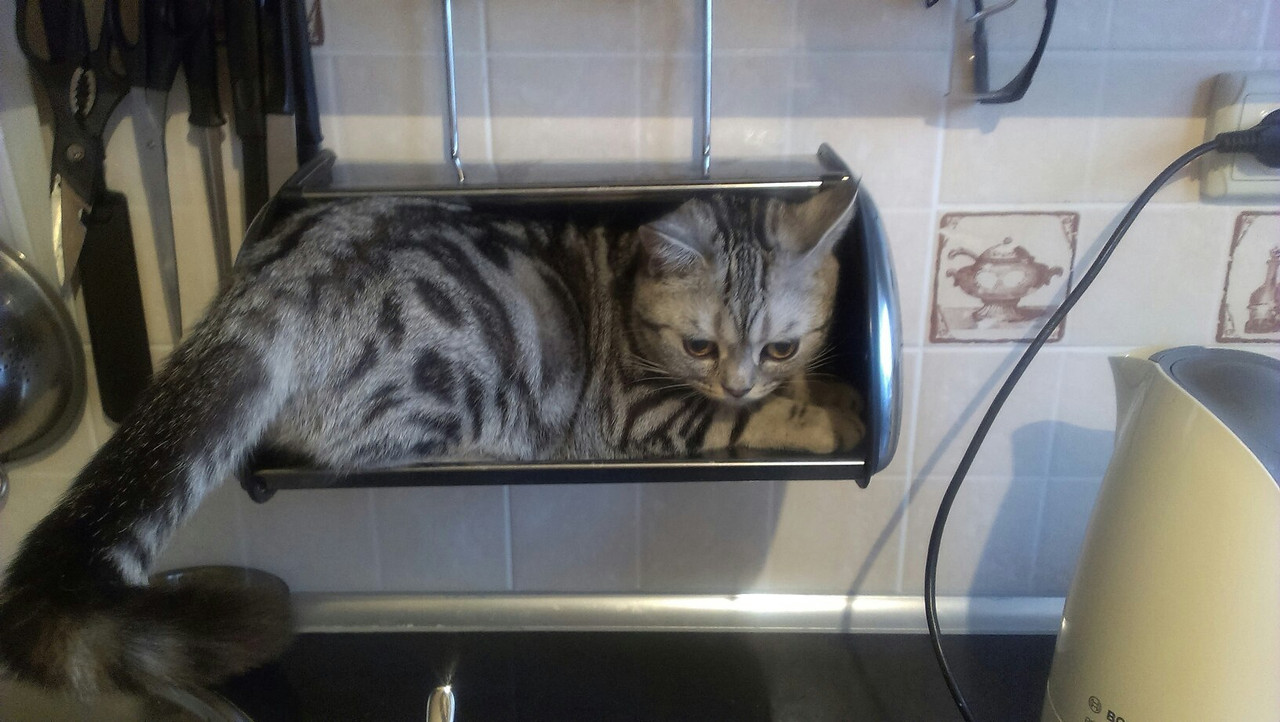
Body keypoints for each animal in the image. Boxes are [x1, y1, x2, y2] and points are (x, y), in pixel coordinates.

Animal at [0, 185, 864, 697]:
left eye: (781, 345)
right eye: (699, 346)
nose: (742, 379)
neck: (626, 293)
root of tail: (276, 280)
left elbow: (793, 390)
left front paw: (827, 391)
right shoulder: (639, 412)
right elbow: (743, 421)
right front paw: (821, 416)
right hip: (457, 383)